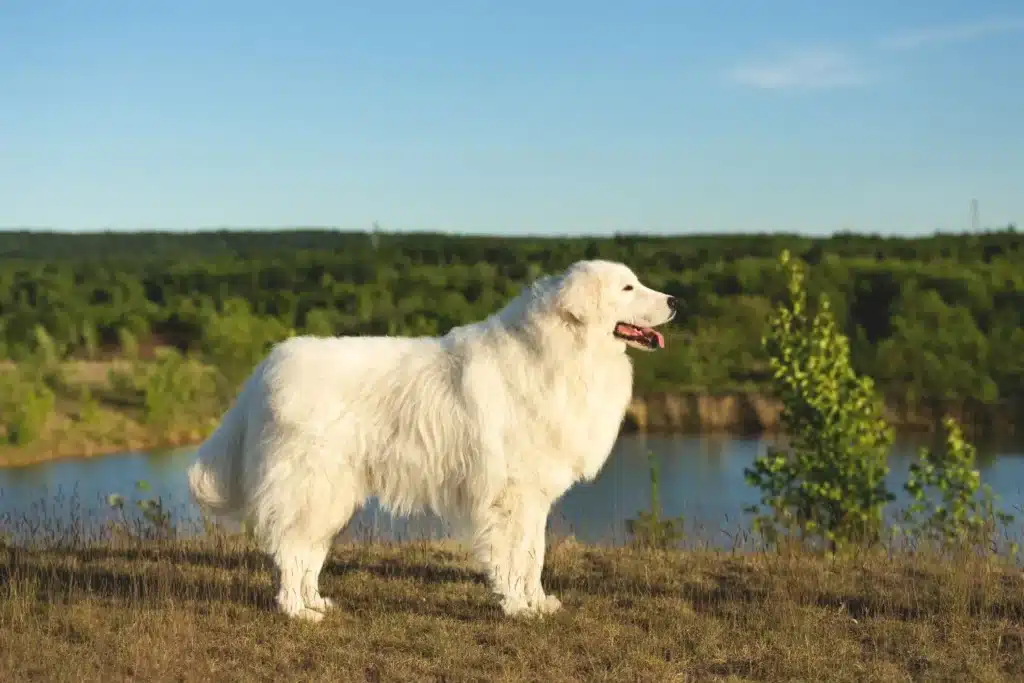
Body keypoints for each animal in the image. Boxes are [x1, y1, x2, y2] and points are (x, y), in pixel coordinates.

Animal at [187, 259, 675, 622]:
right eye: (628, 287)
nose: (675, 301)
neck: (563, 349)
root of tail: (266, 369)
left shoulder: (534, 498)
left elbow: (534, 554)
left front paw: (538, 604)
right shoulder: (510, 496)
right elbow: (513, 556)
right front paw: (517, 608)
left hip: (329, 494)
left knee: (307, 551)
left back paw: (315, 602)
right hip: (310, 487)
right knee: (291, 549)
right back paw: (297, 611)